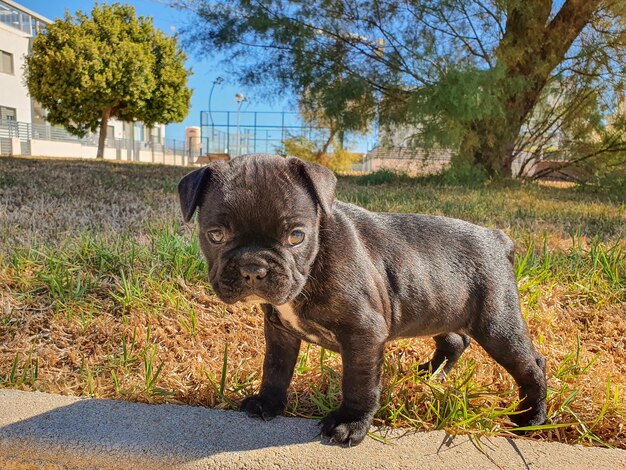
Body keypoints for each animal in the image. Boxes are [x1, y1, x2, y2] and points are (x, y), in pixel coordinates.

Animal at [178, 153, 544, 444]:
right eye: (215, 235)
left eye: (296, 236)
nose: (253, 268)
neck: (315, 259)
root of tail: (497, 238)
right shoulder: (280, 330)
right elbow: (276, 367)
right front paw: (268, 402)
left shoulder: (363, 334)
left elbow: (359, 382)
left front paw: (350, 423)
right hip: (439, 305)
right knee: (454, 340)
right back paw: (430, 374)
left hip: (496, 324)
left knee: (531, 364)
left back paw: (531, 419)